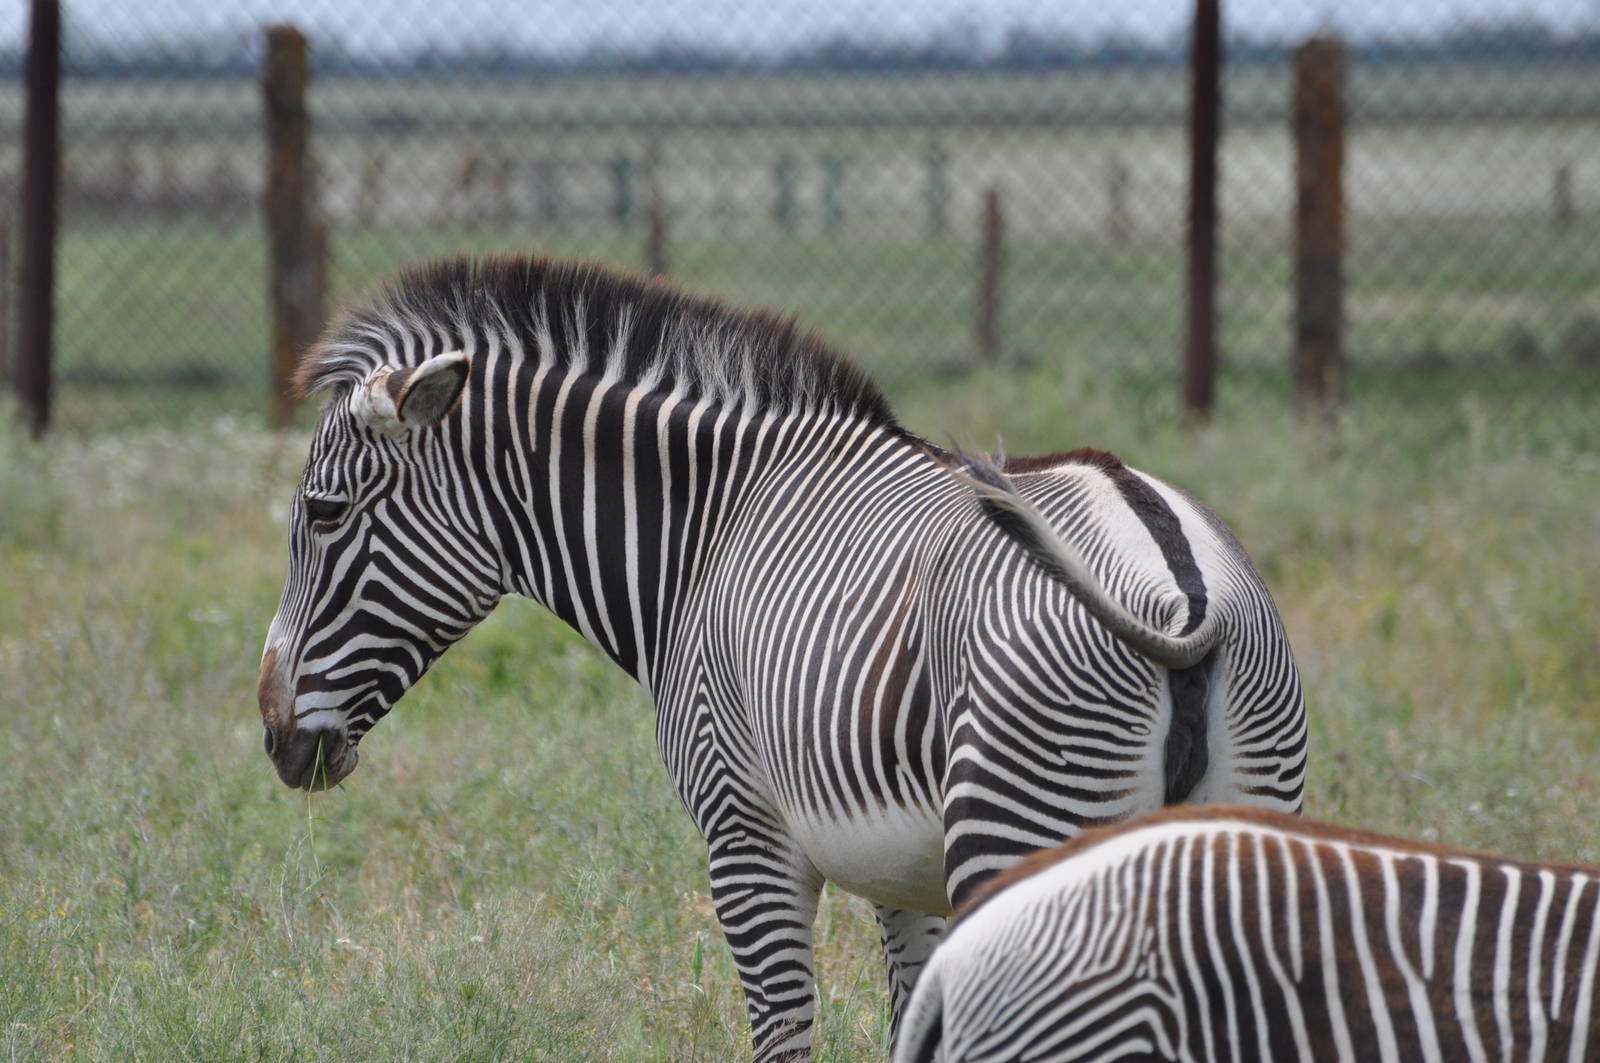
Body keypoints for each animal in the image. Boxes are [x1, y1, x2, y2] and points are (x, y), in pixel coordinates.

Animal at [256, 256, 1307, 1060]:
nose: (271, 733)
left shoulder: (745, 833)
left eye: (323, 512)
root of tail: (1174, 581)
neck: (705, 535)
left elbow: (783, 1029)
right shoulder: (902, 875)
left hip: (1028, 839)